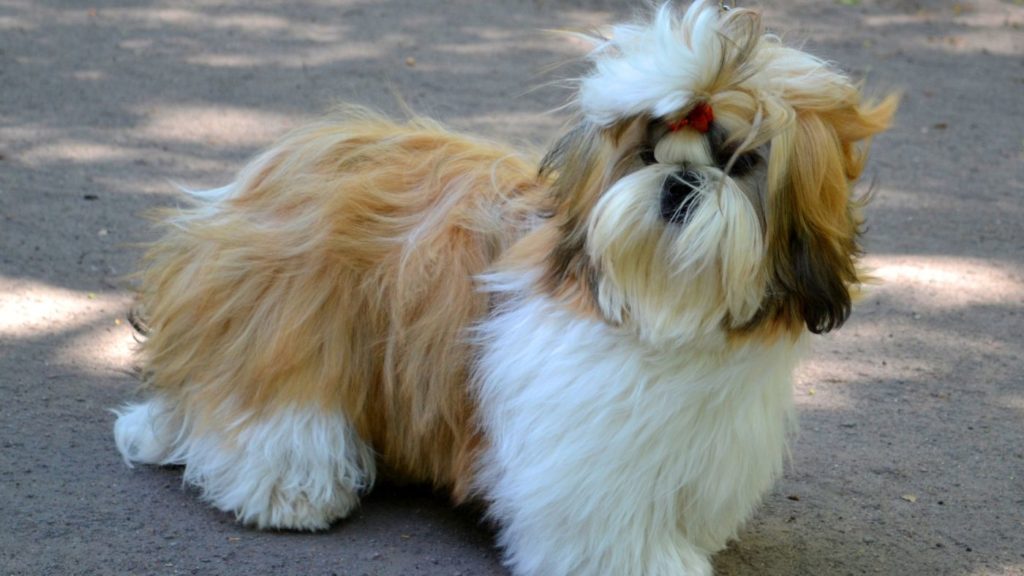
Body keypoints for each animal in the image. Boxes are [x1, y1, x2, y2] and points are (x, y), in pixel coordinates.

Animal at [114, 2, 897, 569]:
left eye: (741, 162)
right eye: (647, 154)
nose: (679, 183)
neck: (663, 307)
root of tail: (257, 178)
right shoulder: (584, 450)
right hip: (291, 324)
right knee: (275, 410)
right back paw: (290, 491)